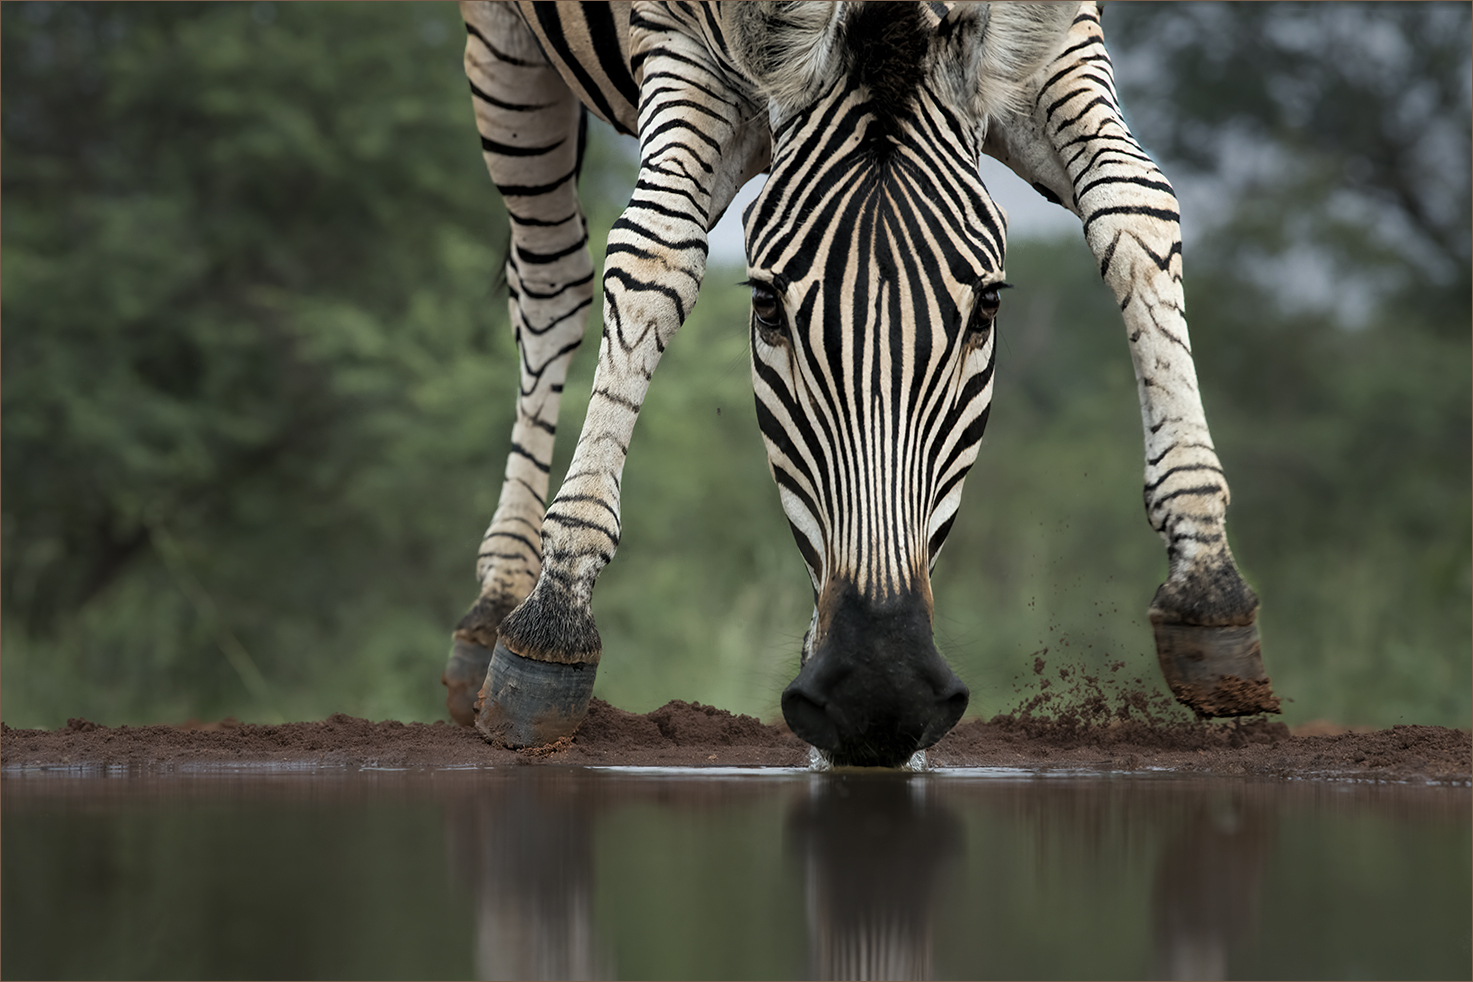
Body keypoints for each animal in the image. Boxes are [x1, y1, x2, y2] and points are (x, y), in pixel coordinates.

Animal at [438, 0, 1278, 765]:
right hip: (507, 51)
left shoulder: (1060, 33)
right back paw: (496, 609)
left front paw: (1207, 584)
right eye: (765, 306)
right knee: (550, 283)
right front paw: (553, 622)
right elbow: (655, 249)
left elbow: (1133, 203)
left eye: (988, 306)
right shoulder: (676, 40)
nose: (881, 696)